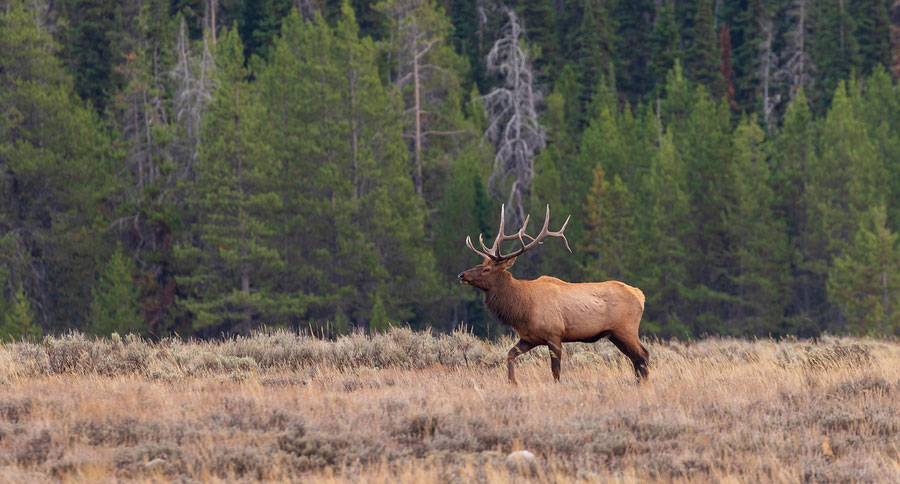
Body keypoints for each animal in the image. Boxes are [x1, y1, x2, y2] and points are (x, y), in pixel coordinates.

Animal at [458, 206, 648, 384]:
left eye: (486, 269)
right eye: (480, 264)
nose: (461, 275)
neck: (523, 309)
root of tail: (640, 295)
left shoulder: (555, 334)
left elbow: (555, 371)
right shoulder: (529, 338)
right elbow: (509, 354)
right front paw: (513, 382)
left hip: (626, 328)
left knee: (643, 355)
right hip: (615, 334)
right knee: (635, 358)